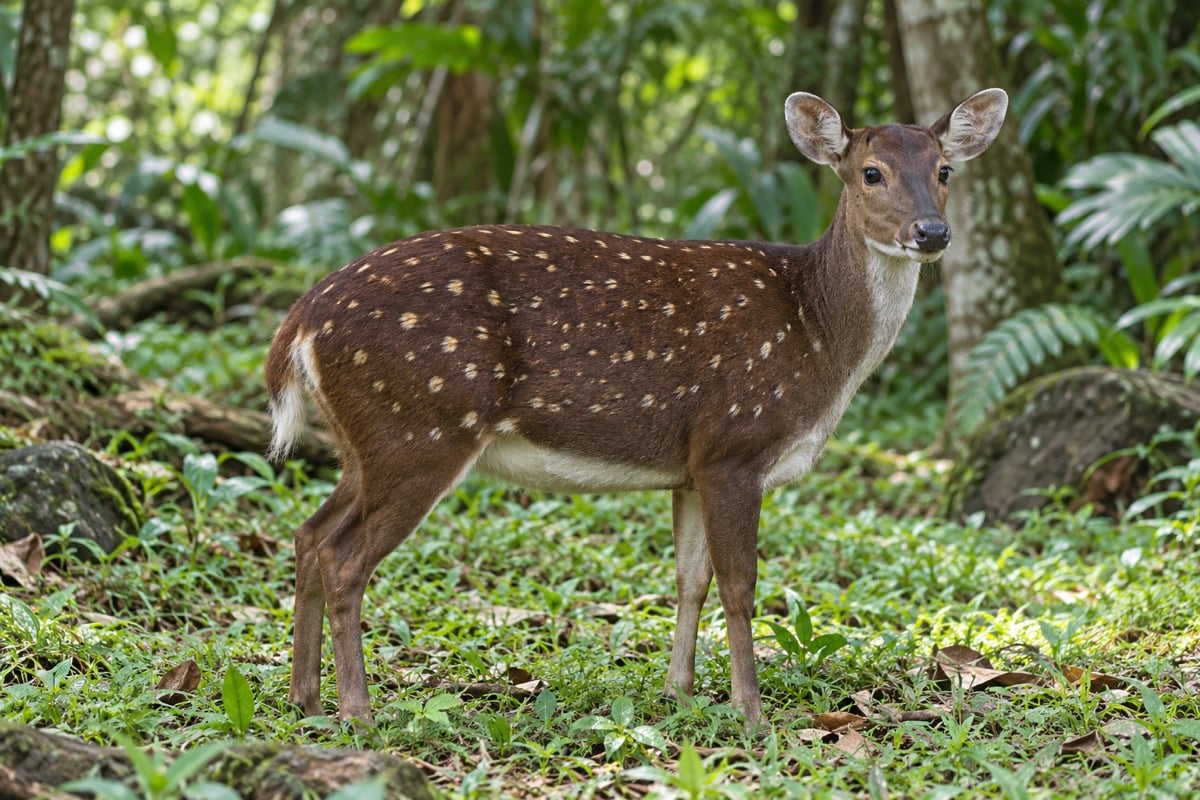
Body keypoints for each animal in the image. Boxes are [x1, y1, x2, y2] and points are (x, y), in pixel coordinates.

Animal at [265, 88, 1008, 727]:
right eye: (870, 173)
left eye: (944, 169)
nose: (931, 232)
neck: (818, 335)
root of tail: (300, 322)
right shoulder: (735, 443)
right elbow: (740, 584)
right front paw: (751, 712)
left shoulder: (691, 465)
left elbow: (689, 579)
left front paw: (678, 692)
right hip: (422, 427)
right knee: (346, 559)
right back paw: (358, 711)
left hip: (368, 441)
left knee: (309, 535)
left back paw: (305, 697)